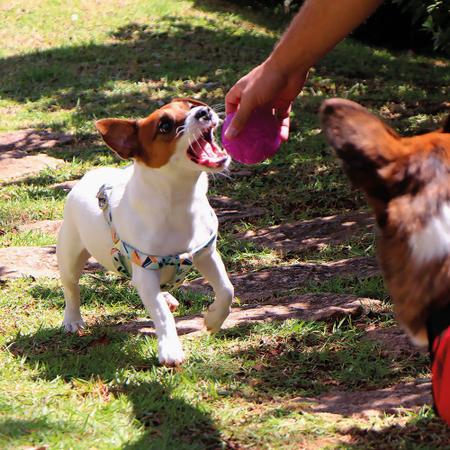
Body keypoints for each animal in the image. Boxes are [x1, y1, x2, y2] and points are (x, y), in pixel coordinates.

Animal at [55, 98, 234, 366]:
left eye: (191, 105)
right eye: (165, 126)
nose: (204, 111)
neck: (179, 199)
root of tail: (90, 175)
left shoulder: (206, 254)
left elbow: (226, 290)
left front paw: (213, 319)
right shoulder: (145, 268)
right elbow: (160, 314)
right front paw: (170, 349)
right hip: (70, 254)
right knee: (71, 287)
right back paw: (73, 320)